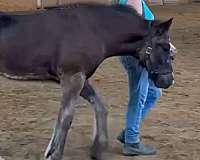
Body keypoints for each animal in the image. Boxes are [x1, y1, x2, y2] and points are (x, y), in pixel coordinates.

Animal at [0, 3, 175, 160]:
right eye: (165, 47)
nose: (168, 80)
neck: (93, 31)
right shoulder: (73, 78)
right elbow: (66, 117)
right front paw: (54, 154)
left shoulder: (81, 79)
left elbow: (100, 108)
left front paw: (97, 148)